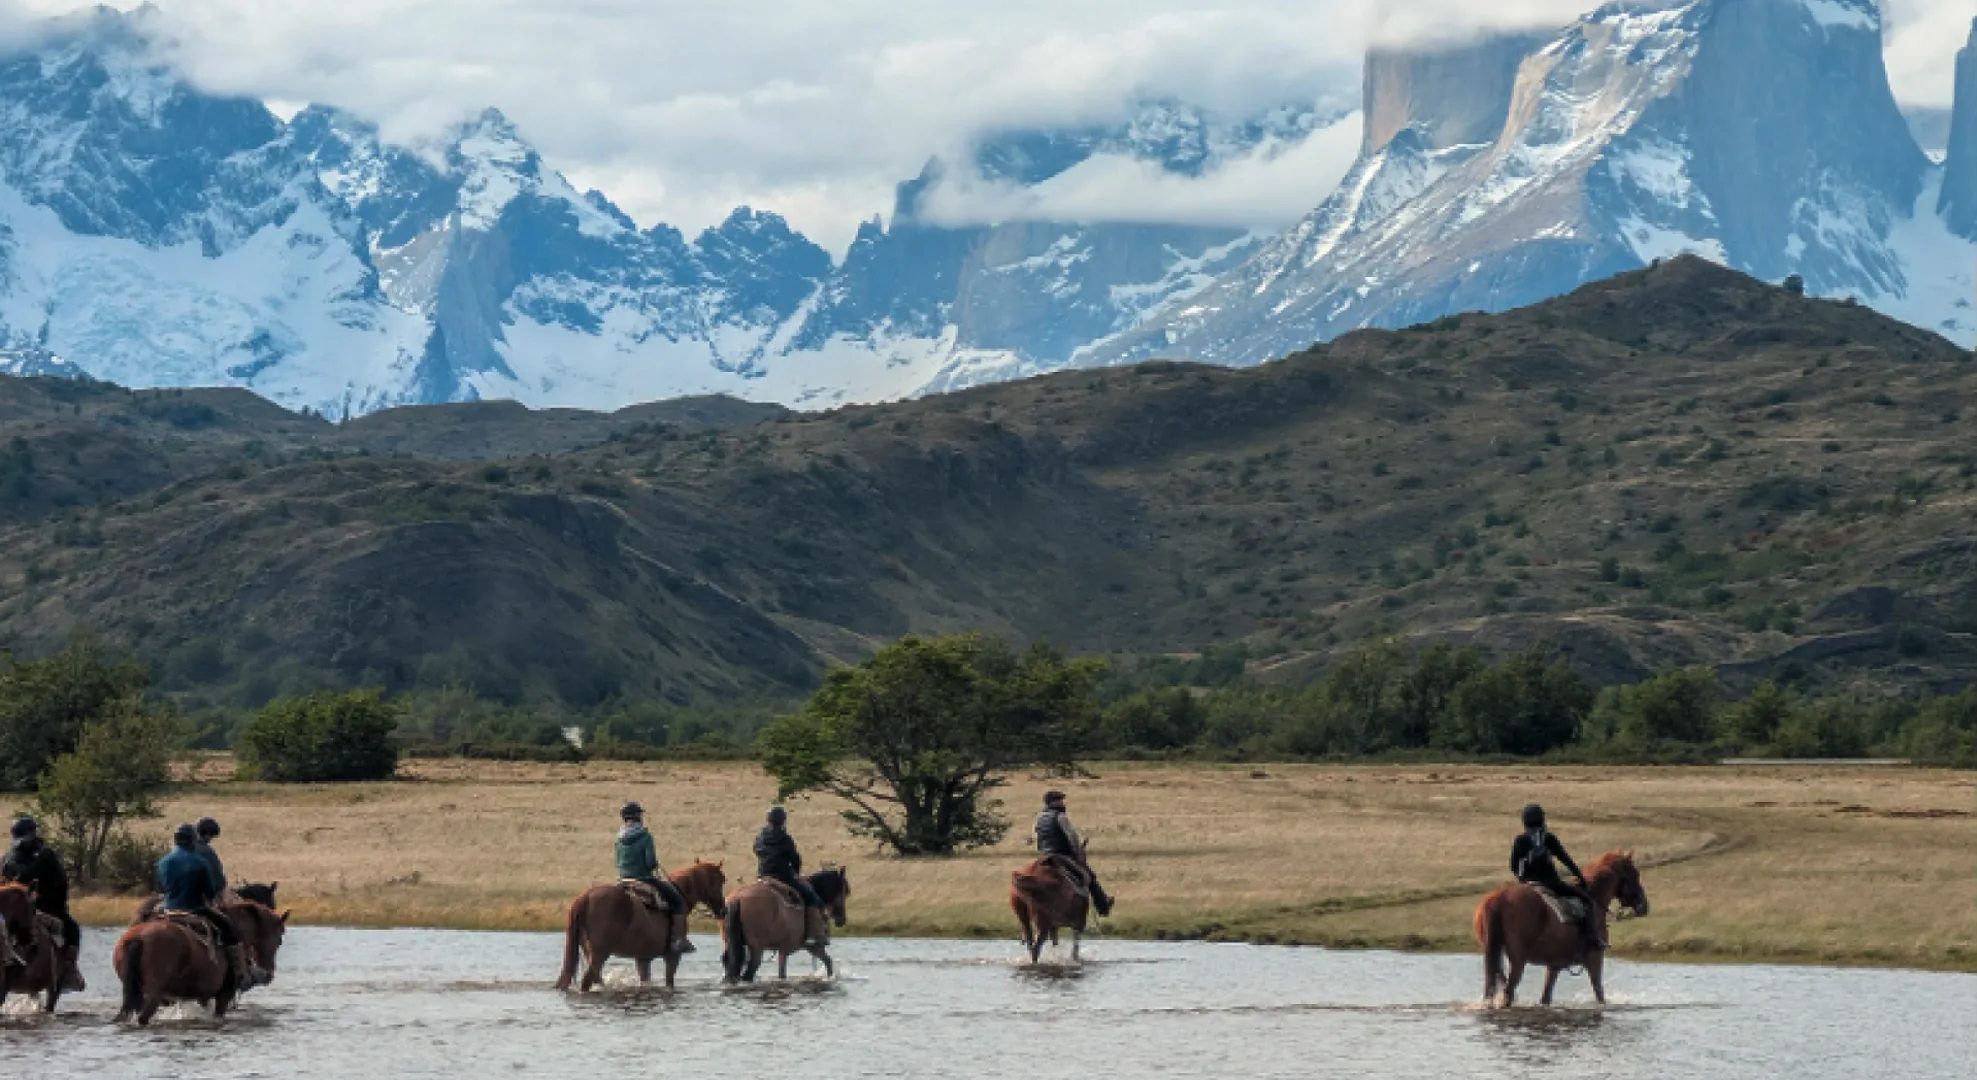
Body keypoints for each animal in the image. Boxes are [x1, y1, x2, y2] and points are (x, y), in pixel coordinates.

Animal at [113, 899, 290, 1026]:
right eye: (280, 940)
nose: (268, 975)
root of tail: (138, 938)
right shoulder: (224, 994)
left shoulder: (203, 997)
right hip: (153, 995)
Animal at [555, 859, 728, 992]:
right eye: (721, 880)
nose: (723, 910)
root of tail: (585, 897)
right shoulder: (673, 956)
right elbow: (669, 981)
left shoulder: (643, 958)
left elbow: (645, 981)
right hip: (600, 953)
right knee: (588, 979)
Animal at [720, 868, 850, 984]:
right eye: (844, 892)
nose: (842, 920)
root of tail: (737, 898)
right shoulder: (809, 947)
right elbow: (828, 962)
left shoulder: (796, 949)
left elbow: (827, 962)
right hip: (757, 948)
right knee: (750, 971)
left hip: (730, 944)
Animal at [1473, 850, 1650, 1007]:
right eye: (1635, 874)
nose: (1644, 906)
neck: (1593, 900)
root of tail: (1498, 898)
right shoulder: (1594, 961)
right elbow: (1600, 995)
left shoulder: (1554, 966)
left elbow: (1545, 998)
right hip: (1518, 961)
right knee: (1508, 992)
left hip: (1495, 955)